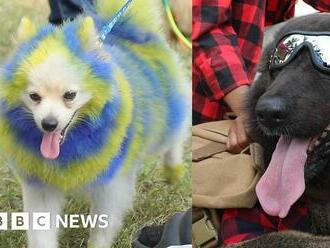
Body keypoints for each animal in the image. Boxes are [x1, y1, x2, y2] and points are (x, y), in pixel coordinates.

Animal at [0, 0, 191, 248]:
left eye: (69, 95)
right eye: (34, 96)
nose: (49, 124)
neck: (73, 142)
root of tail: (131, 31)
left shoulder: (109, 187)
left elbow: (102, 229)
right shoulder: (41, 186)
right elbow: (42, 232)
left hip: (164, 124)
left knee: (175, 134)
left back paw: (173, 169)